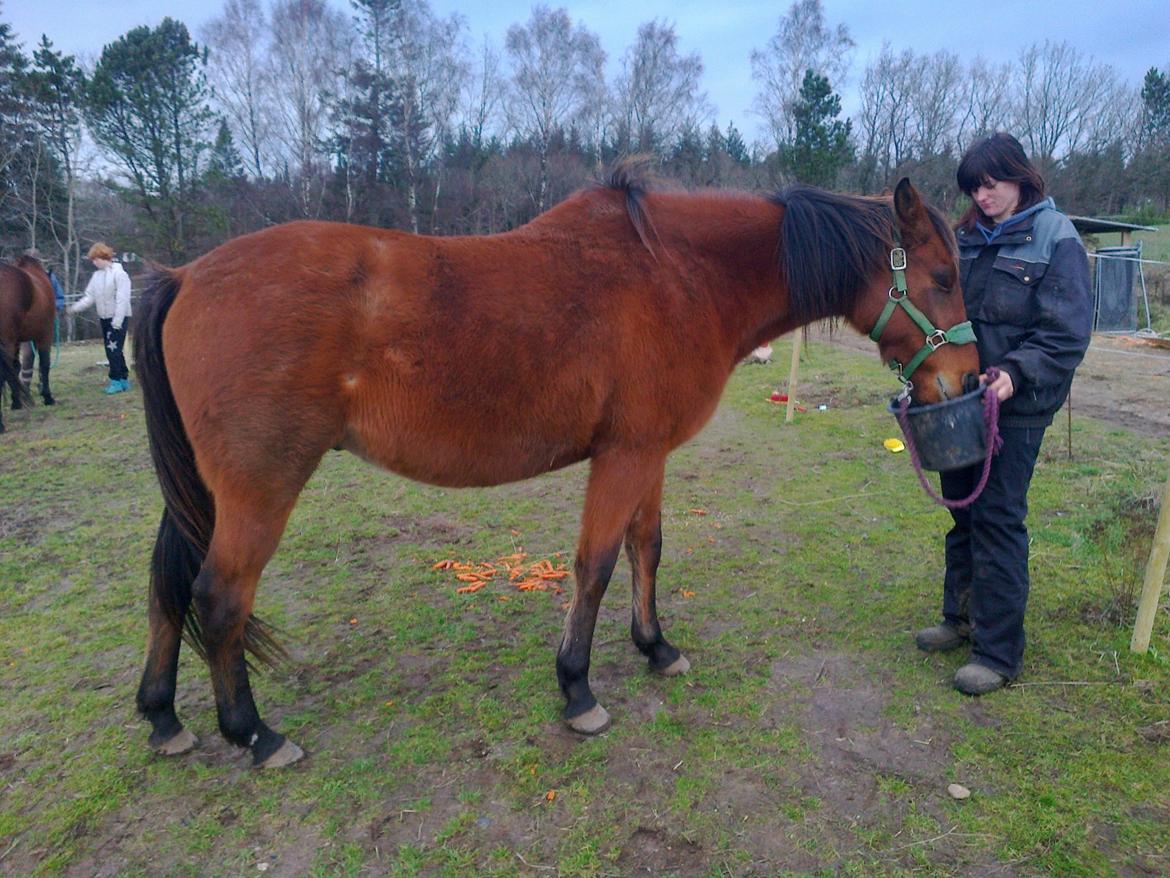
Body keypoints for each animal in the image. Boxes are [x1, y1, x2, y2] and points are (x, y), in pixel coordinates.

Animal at [0, 252, 56, 435]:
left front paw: (16, 402)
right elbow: (45, 364)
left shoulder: (16, 341)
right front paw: (47, 396)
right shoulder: (45, 334)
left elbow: (15, 369)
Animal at [132, 166, 982, 767]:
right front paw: (577, 690)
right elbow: (595, 565)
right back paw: (254, 734)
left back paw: (164, 716)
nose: (970, 381)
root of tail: (185, 276)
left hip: (209, 492)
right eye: (943, 279)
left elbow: (647, 549)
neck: (679, 276)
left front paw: (655, 648)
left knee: (166, 585)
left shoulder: (649, 453)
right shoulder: (625, 456)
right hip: (261, 487)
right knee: (219, 598)